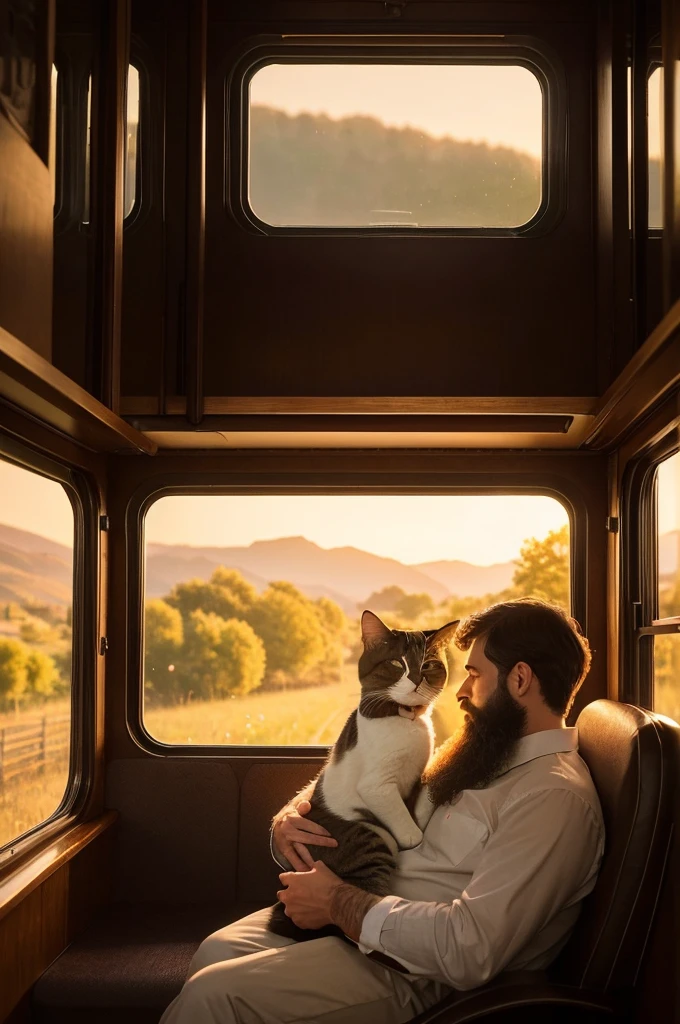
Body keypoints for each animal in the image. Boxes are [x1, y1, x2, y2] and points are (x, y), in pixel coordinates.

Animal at [268, 606, 458, 942]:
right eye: (397, 663)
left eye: (428, 664)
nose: (416, 679)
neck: (405, 720)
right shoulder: (377, 786)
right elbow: (403, 818)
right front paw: (414, 836)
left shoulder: (416, 775)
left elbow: (420, 795)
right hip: (368, 836)